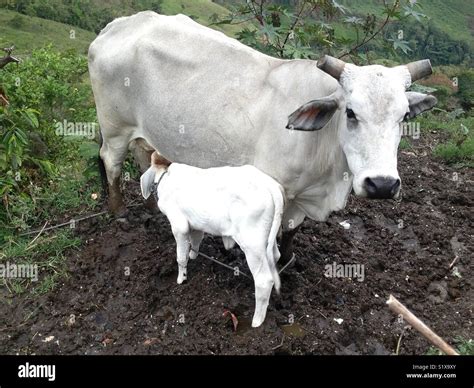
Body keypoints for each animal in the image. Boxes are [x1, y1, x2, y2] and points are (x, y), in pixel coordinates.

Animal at [90, 11, 436, 260]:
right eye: (350, 112)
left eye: (404, 117)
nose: (382, 185)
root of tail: (118, 25)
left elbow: (292, 229)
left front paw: (289, 259)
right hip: (115, 127)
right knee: (111, 162)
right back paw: (120, 212)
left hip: (141, 131)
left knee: (143, 155)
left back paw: (153, 206)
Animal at [139, 152, 284, 328]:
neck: (165, 177)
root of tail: (270, 185)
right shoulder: (195, 225)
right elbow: (195, 242)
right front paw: (193, 256)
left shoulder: (179, 226)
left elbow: (180, 257)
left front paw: (181, 278)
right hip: (267, 241)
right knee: (276, 257)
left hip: (252, 245)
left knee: (264, 280)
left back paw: (257, 321)